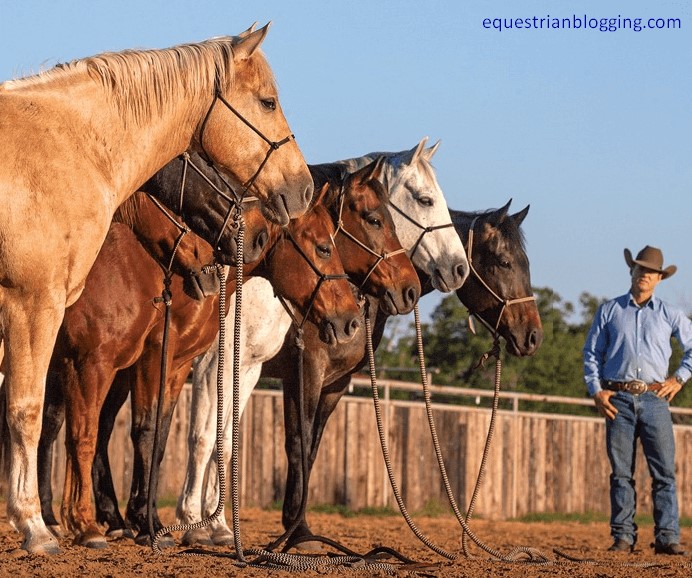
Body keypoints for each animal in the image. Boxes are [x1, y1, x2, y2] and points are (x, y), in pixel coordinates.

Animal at [0, 24, 312, 553]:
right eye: (268, 102)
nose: (303, 187)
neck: (62, 150)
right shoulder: (33, 304)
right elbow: (27, 410)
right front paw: (35, 526)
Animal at [175, 138, 470, 546]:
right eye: (425, 199)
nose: (459, 268)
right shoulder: (253, 366)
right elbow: (209, 437)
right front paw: (196, 522)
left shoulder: (257, 369)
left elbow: (232, 439)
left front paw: (218, 526)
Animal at [269, 200, 544, 547]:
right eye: (505, 262)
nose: (533, 336)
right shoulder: (304, 373)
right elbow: (297, 445)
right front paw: (297, 531)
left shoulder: (335, 384)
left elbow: (312, 448)